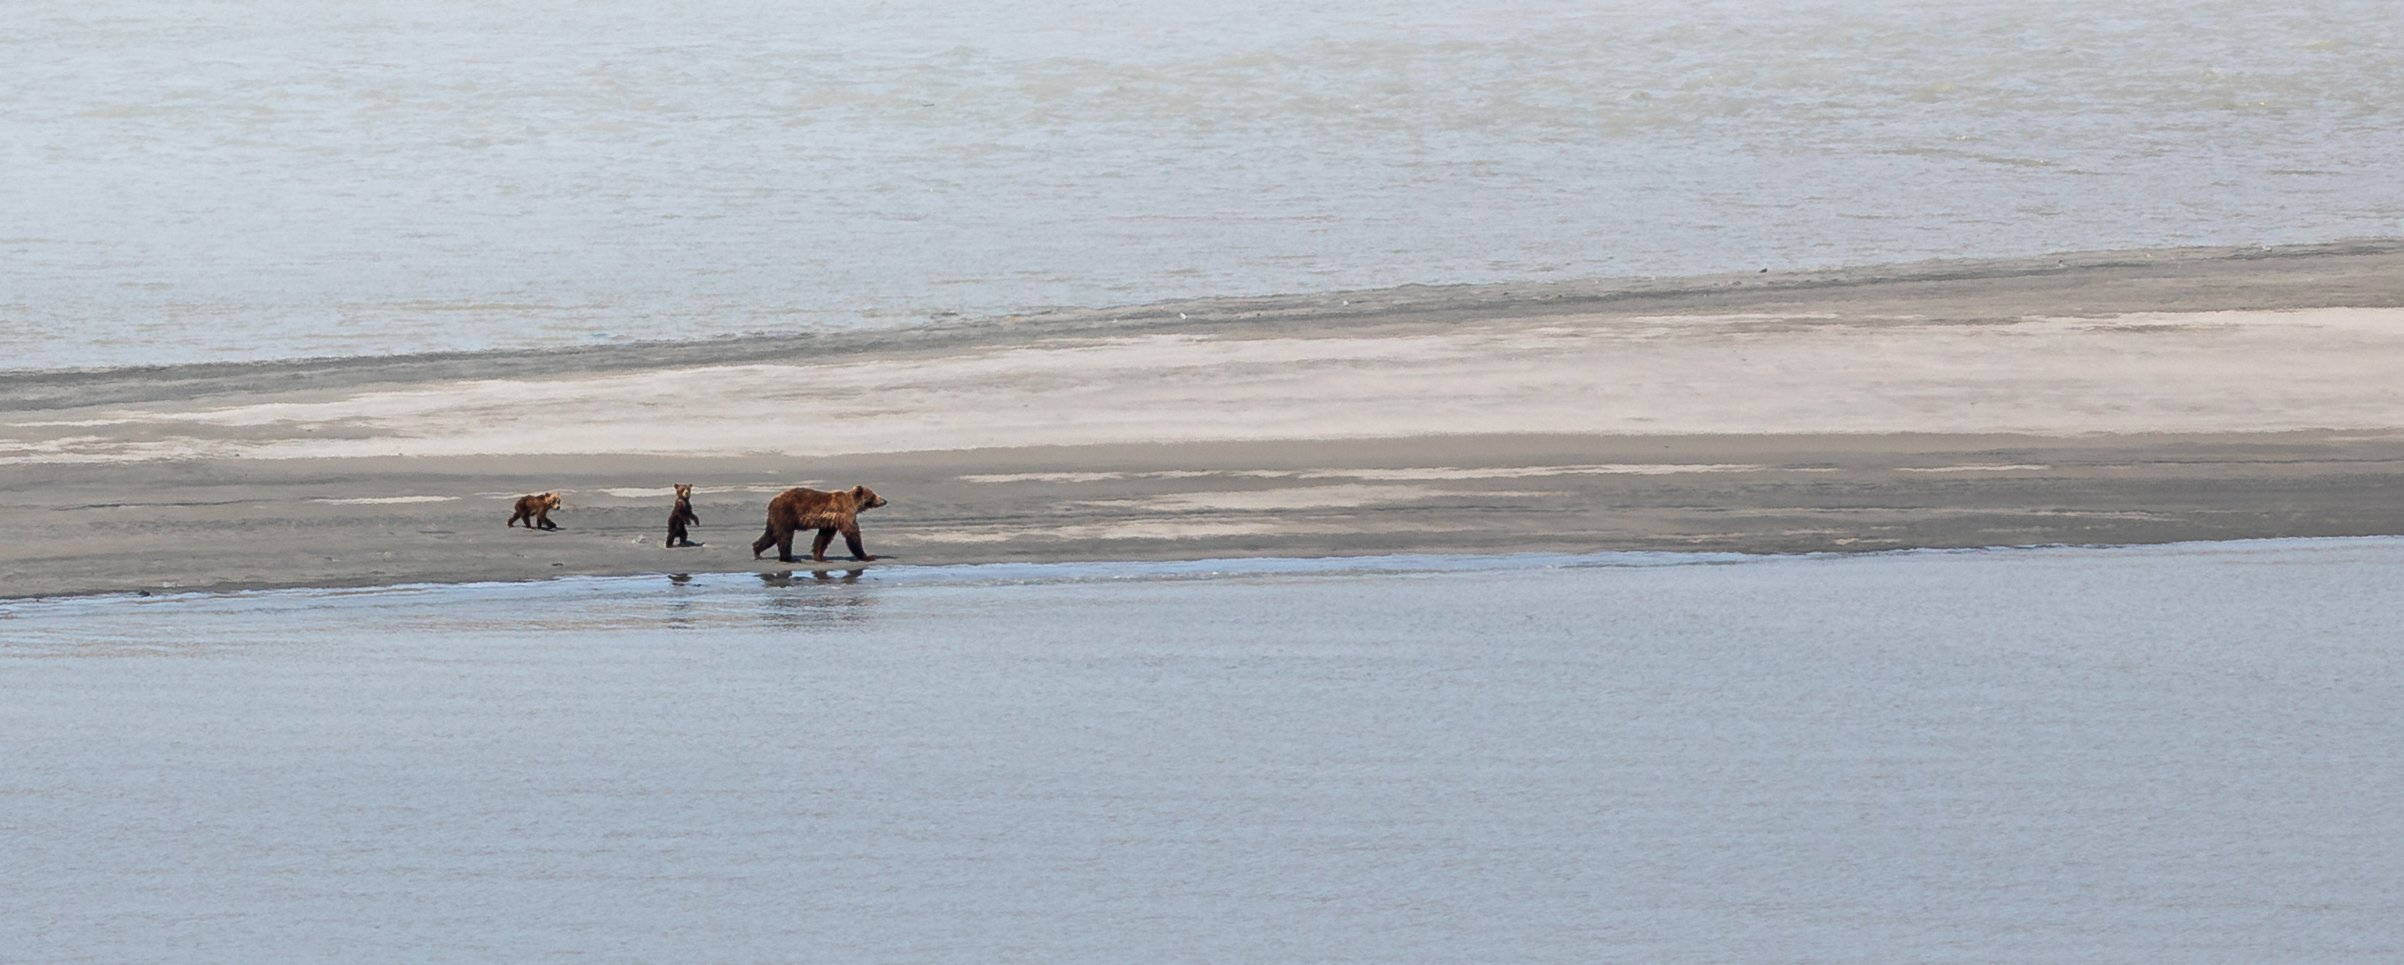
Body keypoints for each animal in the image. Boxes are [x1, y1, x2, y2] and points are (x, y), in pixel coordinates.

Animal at [751, 485, 887, 563]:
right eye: (873, 495)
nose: (884, 500)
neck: (854, 505)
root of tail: (772, 502)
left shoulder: (831, 521)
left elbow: (823, 538)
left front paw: (820, 557)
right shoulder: (845, 515)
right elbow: (852, 535)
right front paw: (867, 556)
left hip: (775, 519)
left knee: (770, 535)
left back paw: (757, 551)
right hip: (786, 513)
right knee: (785, 536)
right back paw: (789, 558)